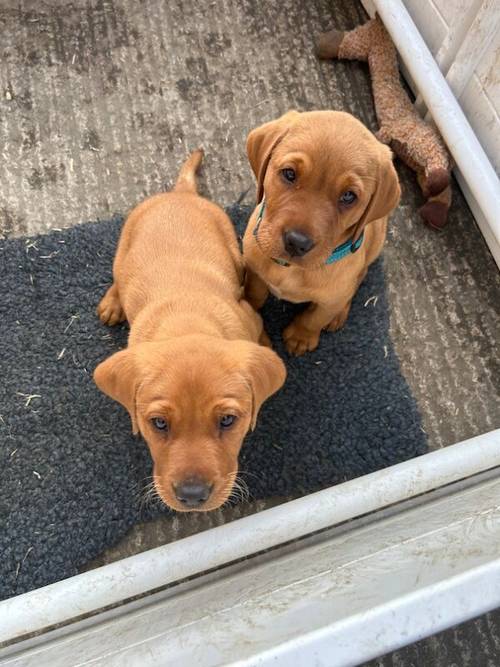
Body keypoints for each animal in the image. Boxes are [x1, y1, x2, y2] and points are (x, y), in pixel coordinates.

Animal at [94, 151, 286, 516]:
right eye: (158, 424)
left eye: (227, 421)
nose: (193, 495)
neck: (188, 320)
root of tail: (179, 193)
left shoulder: (248, 314)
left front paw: (265, 343)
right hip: (122, 247)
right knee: (118, 278)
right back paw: (112, 303)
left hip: (231, 241)